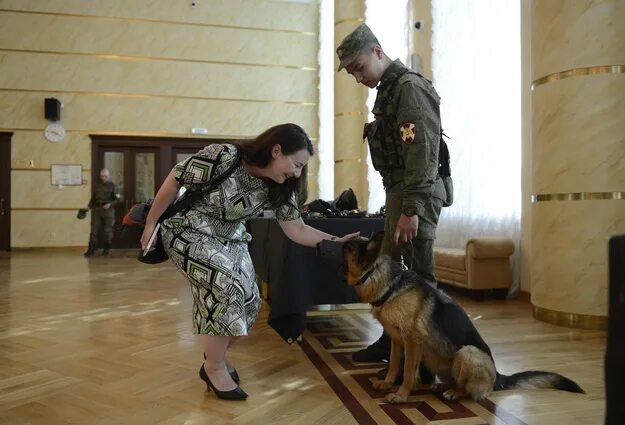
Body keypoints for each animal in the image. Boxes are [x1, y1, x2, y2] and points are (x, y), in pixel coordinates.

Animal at [342, 234, 580, 402]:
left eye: (348, 247)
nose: (336, 241)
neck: (389, 284)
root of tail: (498, 375)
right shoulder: (396, 340)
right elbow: (393, 364)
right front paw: (388, 383)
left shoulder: (412, 343)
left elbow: (408, 371)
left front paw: (401, 395)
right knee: (454, 381)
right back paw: (443, 386)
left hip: (466, 353)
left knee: (471, 391)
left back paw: (455, 393)